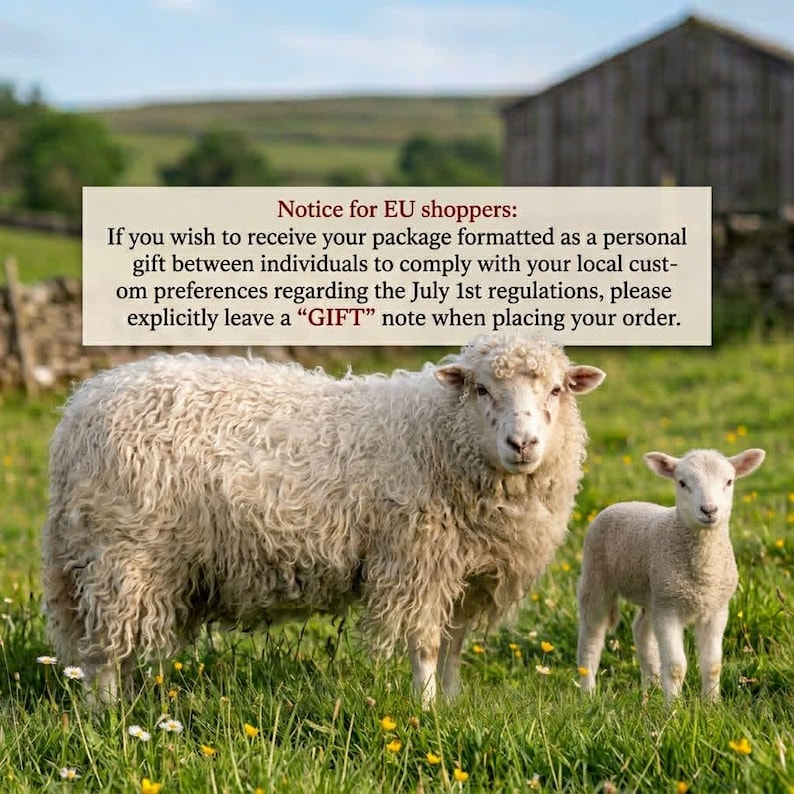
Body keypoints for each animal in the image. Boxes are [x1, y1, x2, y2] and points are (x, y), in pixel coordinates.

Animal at [41, 331, 605, 707]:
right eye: (483, 390)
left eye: (557, 390)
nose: (522, 443)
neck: (440, 434)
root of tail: (81, 407)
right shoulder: (417, 562)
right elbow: (425, 645)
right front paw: (425, 713)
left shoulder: (466, 575)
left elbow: (452, 647)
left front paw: (450, 704)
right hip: (122, 552)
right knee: (103, 649)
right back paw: (109, 715)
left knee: (111, 645)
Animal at [576, 447, 765, 702]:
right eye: (682, 483)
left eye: (729, 482)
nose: (709, 510)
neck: (703, 573)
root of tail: (622, 503)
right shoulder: (669, 611)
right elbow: (676, 666)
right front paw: (673, 707)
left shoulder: (716, 610)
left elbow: (712, 665)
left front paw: (712, 704)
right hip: (596, 577)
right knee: (591, 636)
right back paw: (588, 691)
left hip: (654, 594)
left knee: (641, 630)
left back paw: (652, 686)